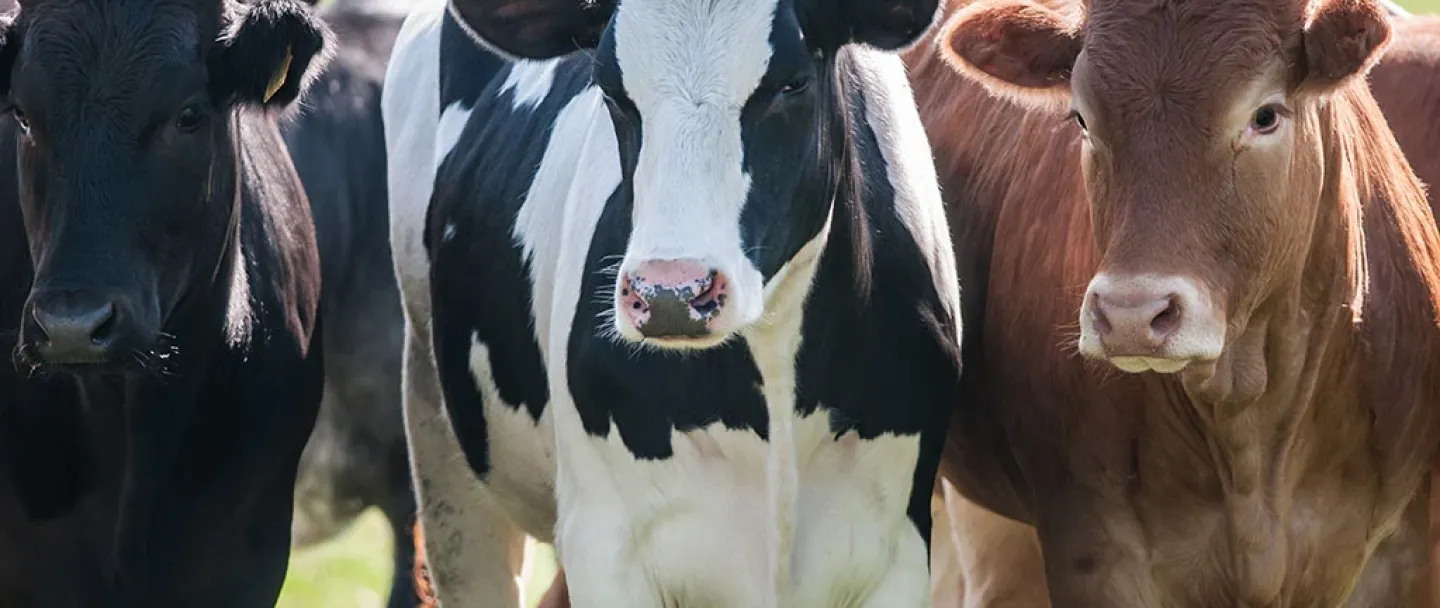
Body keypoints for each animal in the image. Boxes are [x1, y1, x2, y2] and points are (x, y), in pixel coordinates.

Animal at [381, 0, 963, 604]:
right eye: (611, 91)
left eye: (792, 83)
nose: (671, 294)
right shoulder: (605, 547)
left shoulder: (897, 551)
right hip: (443, 462)